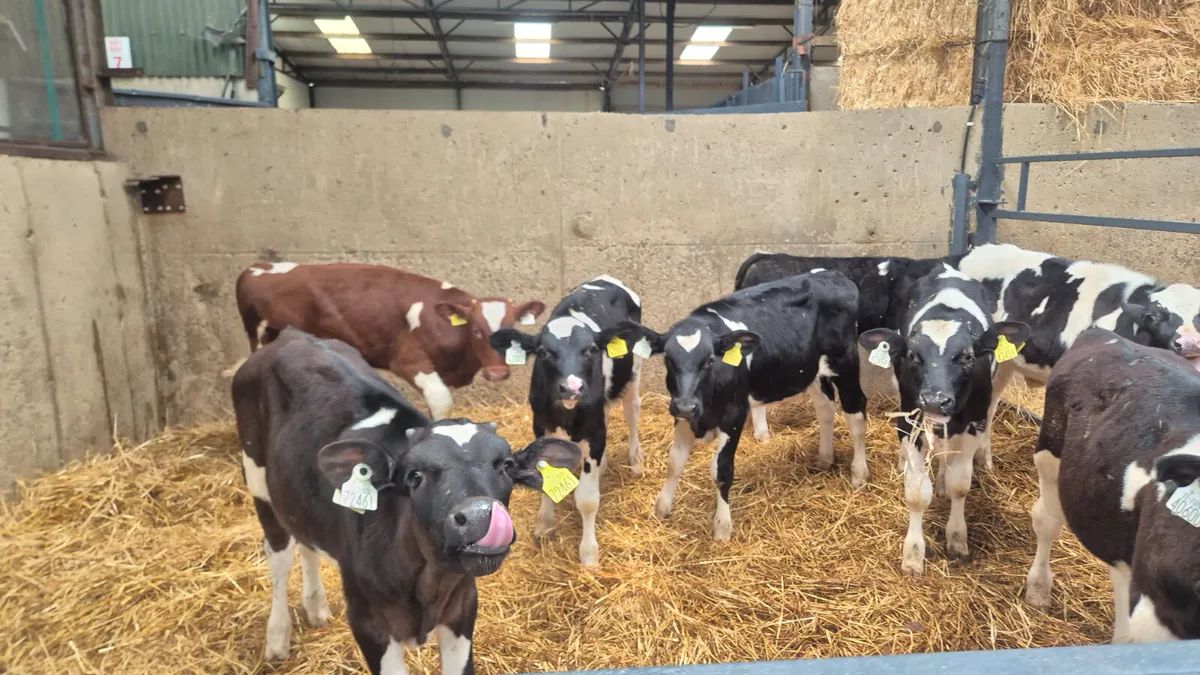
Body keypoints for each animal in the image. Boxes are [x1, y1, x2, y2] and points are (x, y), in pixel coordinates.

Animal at [227, 261, 546, 420]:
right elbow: (441, 401)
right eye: (477, 330)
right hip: (262, 339)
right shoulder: (408, 359)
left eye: (511, 327)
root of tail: (255, 268)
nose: (497, 373)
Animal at [233, 327, 581, 673]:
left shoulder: (463, 605)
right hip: (257, 479)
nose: (480, 516)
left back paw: (316, 606)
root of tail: (291, 335)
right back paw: (278, 637)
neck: (426, 583)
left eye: (506, 465)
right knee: (279, 555)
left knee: (305, 540)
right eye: (414, 476)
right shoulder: (368, 621)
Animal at [487, 274, 645, 567]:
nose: (572, 387)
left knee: (632, 410)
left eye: (591, 349)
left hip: (634, 371)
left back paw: (636, 460)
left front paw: (589, 555)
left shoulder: (593, 432)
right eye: (543, 352)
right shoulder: (541, 425)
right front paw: (544, 525)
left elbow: (587, 498)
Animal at [619, 271, 869, 541]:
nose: (685, 405)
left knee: (856, 412)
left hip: (844, 362)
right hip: (811, 370)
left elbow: (721, 469)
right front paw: (662, 507)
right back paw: (824, 459)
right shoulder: (684, 415)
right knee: (825, 407)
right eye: (667, 359)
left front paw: (722, 527)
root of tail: (832, 274)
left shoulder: (734, 414)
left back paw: (859, 474)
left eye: (709, 361)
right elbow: (675, 461)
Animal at [858, 263, 1030, 575]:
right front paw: (913, 553)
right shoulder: (912, 422)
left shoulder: (974, 423)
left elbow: (959, 484)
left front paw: (957, 539)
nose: (935, 400)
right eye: (913, 355)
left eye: (967, 356)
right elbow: (916, 493)